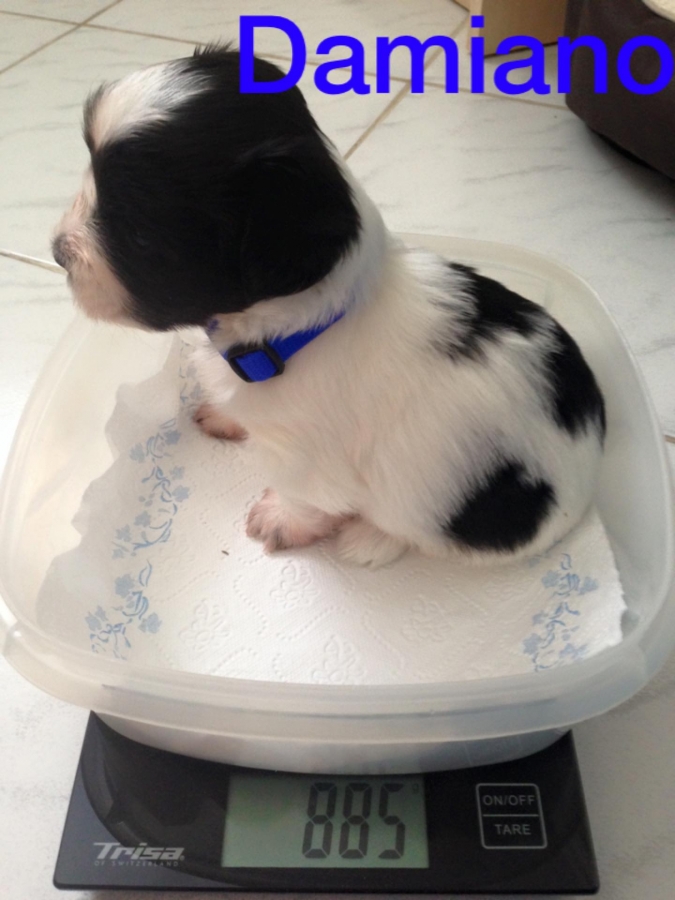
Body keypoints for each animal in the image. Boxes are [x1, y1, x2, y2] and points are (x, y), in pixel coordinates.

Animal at [52, 46, 605, 568]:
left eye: (139, 235)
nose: (56, 252)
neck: (293, 337)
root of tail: (594, 446)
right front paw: (225, 415)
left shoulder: (306, 465)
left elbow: (304, 502)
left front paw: (278, 520)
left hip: (429, 509)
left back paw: (370, 540)